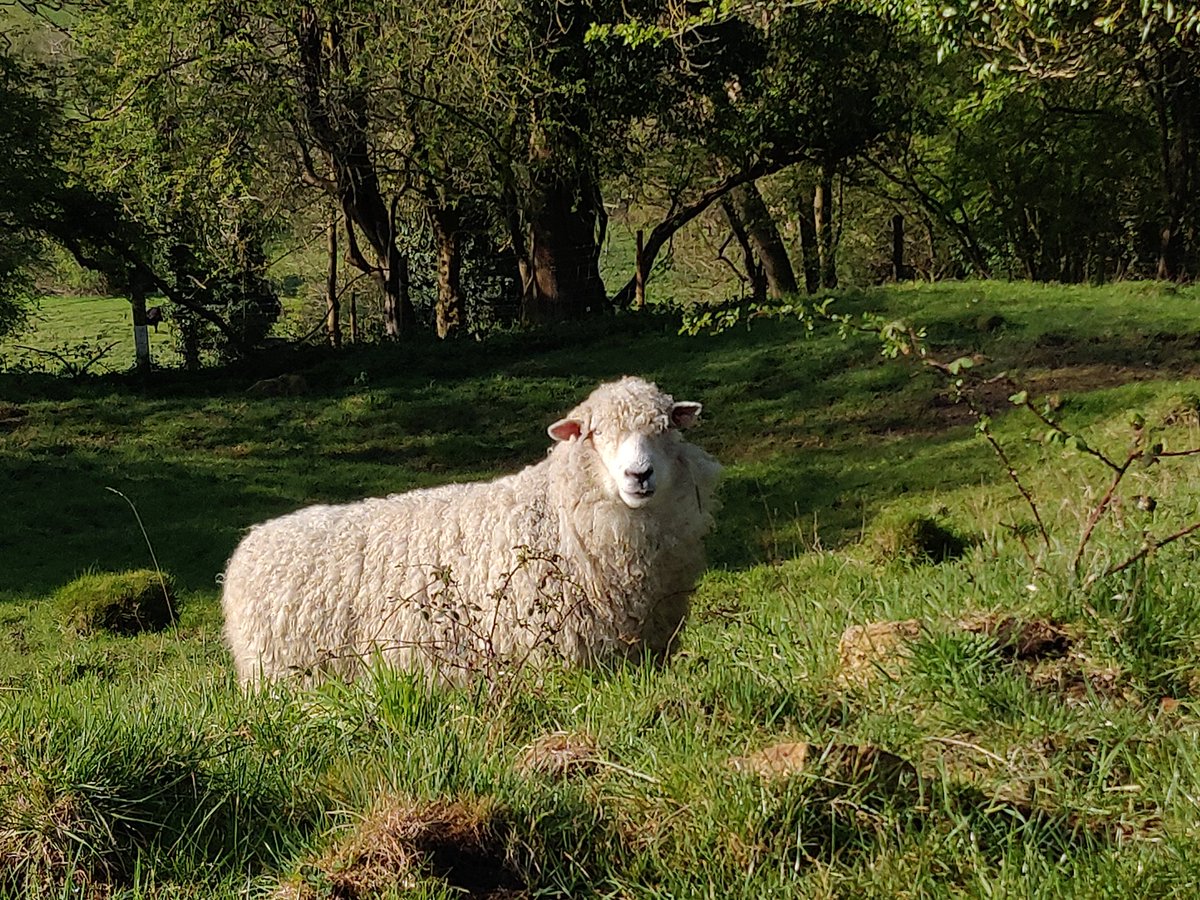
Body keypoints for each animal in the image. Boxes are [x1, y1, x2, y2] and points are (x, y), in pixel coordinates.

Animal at [220, 376, 715, 686]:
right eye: (594, 434)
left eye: (666, 427)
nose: (639, 475)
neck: (558, 512)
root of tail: (252, 542)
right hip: (282, 675)